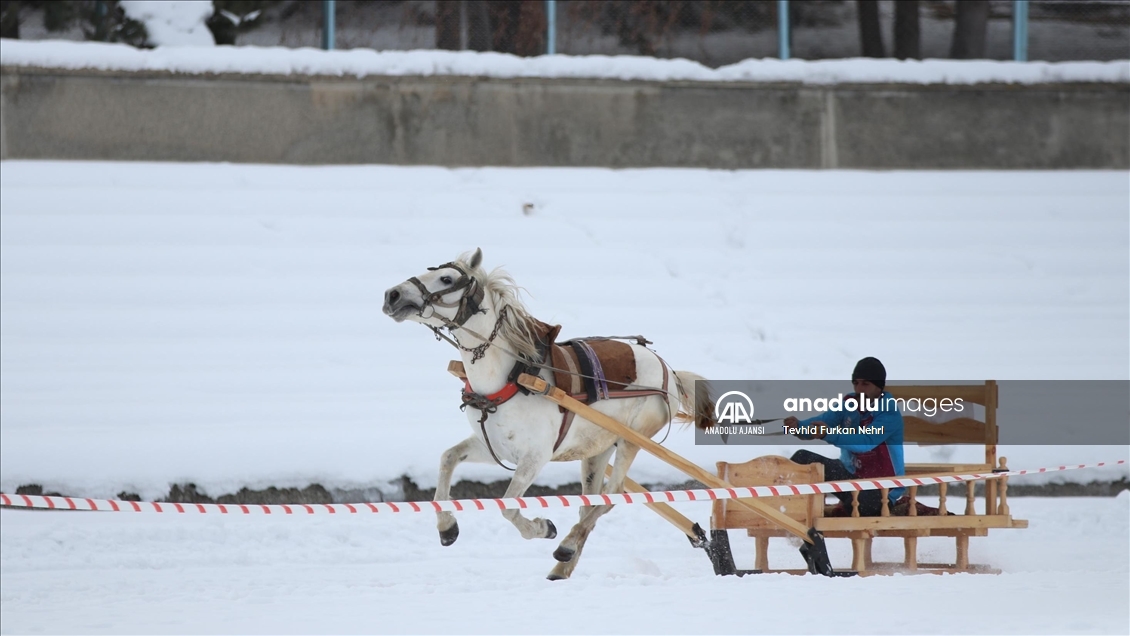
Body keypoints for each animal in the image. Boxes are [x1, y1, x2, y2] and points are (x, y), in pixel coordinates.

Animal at [381, 248, 714, 582]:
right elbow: (448, 458)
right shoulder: (494, 447)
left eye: (446, 279)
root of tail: (669, 370)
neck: (512, 375)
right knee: (593, 500)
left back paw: (566, 546)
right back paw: (563, 565)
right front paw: (447, 526)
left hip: (632, 439)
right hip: (597, 450)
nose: (392, 294)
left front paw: (542, 528)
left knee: (614, 492)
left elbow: (507, 506)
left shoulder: (535, 456)